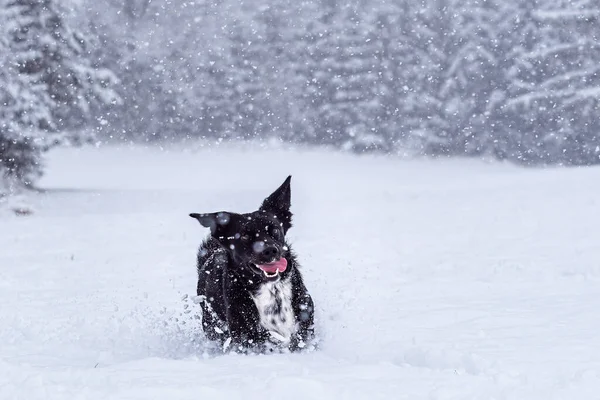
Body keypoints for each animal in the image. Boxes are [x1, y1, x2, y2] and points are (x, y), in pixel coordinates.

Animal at [191, 177, 314, 352]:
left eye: (274, 230)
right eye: (244, 236)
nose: (270, 251)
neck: (273, 292)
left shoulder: (305, 329)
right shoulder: (246, 339)